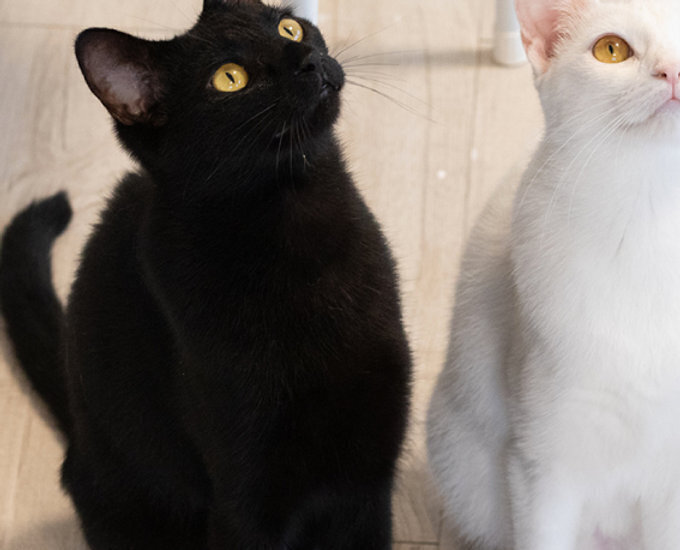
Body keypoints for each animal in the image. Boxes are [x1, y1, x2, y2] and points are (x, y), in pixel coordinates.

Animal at [0, 1, 412, 548]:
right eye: (229, 79)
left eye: (289, 27)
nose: (307, 59)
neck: (301, 231)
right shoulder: (245, 506)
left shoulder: (367, 482)